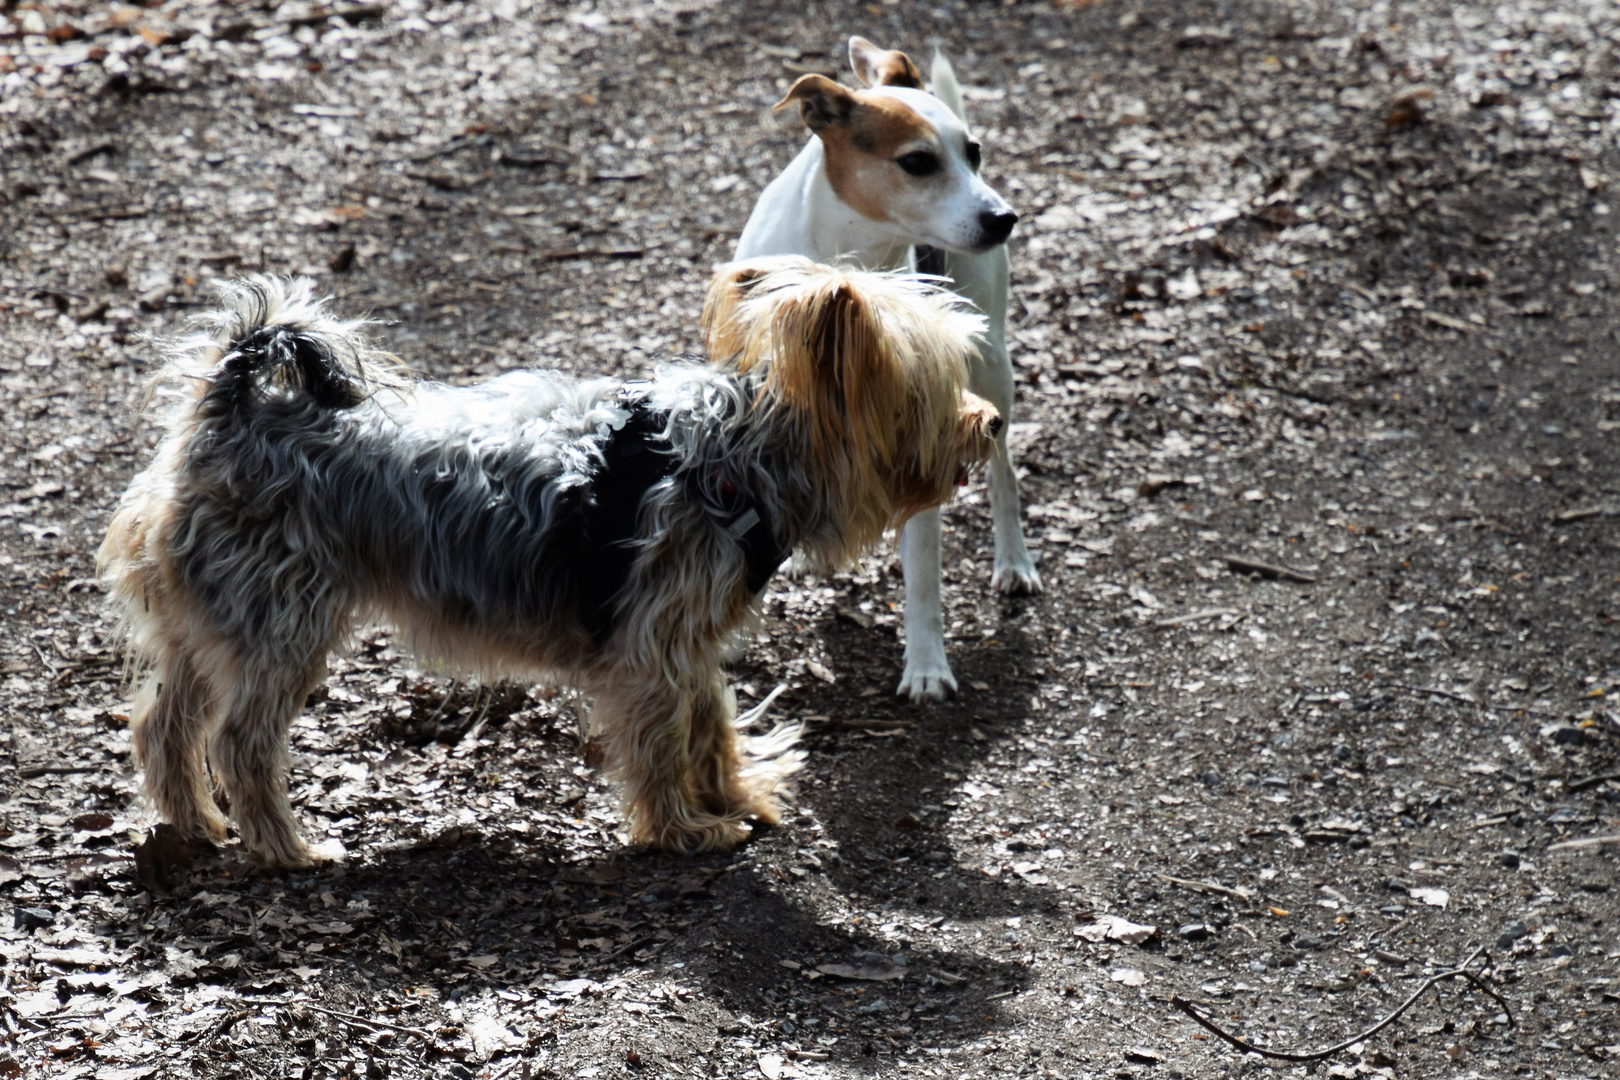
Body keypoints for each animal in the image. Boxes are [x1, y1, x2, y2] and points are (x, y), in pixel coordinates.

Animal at [735, 35, 1036, 702]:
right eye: (918, 162)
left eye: (974, 152)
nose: (1004, 217)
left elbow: (923, 575)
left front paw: (926, 666)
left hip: (992, 368)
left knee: (1004, 475)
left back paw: (1014, 561)